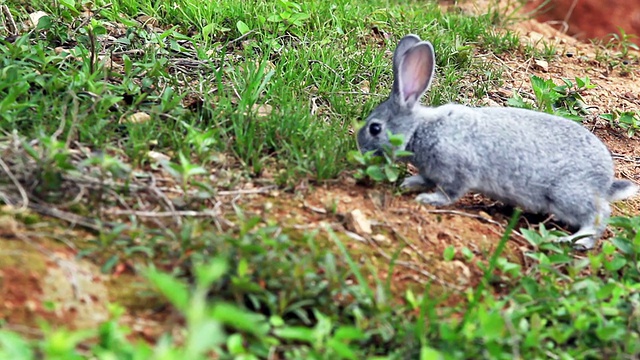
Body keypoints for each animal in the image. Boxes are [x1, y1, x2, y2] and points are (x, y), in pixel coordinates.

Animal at [358, 35, 636, 250]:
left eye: (375, 128)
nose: (360, 148)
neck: (419, 130)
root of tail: (605, 182)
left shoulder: (457, 170)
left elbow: (450, 192)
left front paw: (428, 200)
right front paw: (409, 184)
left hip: (566, 194)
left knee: (599, 215)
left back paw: (577, 241)